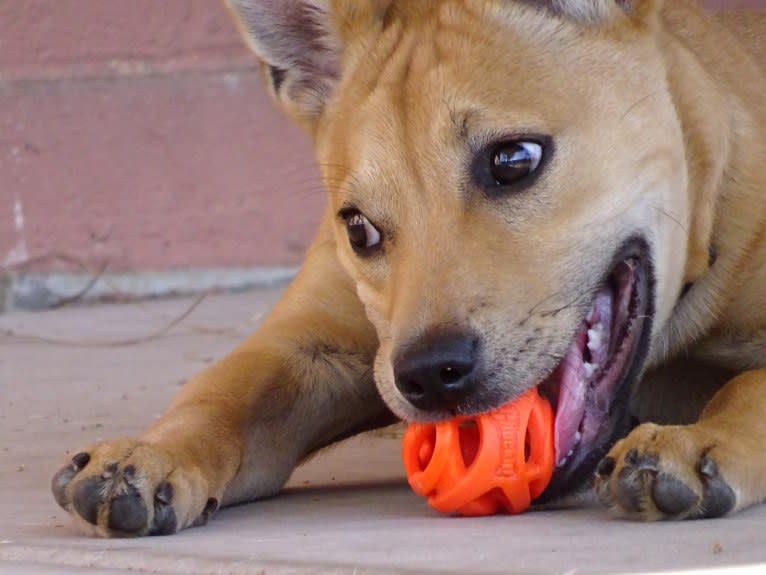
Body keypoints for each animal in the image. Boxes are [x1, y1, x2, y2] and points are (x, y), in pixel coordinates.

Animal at [51, 1, 764, 540]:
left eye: (514, 160)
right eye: (357, 227)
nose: (429, 375)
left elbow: (749, 384)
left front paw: (700, 440)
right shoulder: (310, 349)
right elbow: (222, 394)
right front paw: (151, 454)